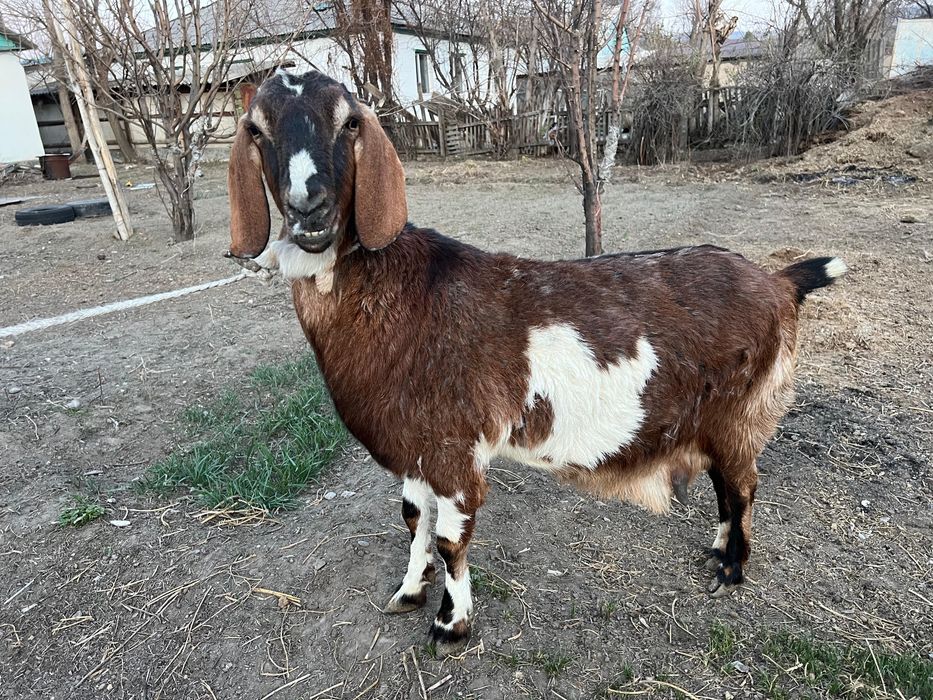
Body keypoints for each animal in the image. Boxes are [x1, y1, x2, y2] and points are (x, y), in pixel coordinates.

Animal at [225, 69, 847, 656]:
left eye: (350, 123)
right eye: (256, 129)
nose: (309, 208)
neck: (405, 294)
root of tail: (779, 282)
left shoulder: (454, 450)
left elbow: (450, 538)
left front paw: (451, 624)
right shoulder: (415, 449)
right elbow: (412, 519)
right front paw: (408, 589)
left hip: (741, 411)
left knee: (742, 487)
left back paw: (732, 569)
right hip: (713, 419)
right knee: (723, 483)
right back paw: (717, 550)